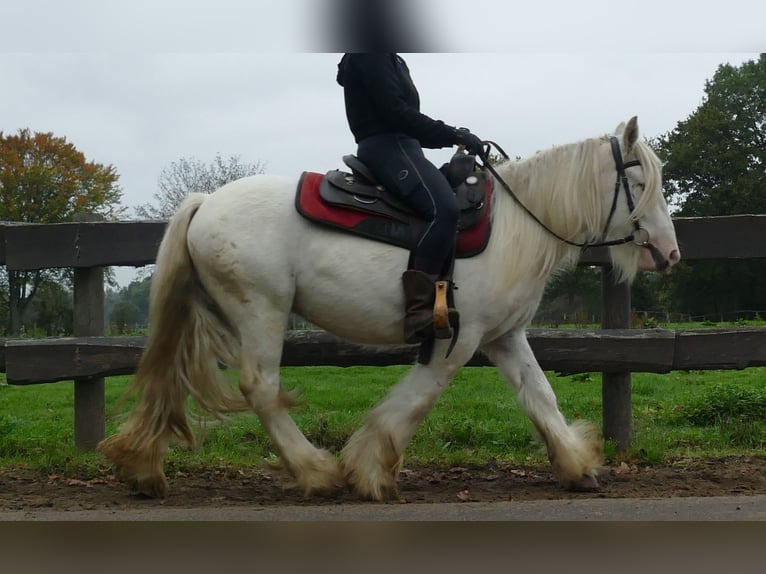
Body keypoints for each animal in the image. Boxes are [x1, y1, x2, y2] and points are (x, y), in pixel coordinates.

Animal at [99, 116, 680, 501]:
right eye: (639, 182)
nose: (670, 253)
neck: (516, 225)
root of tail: (204, 203)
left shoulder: (505, 337)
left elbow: (540, 398)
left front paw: (576, 466)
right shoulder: (458, 341)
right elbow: (414, 403)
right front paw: (369, 471)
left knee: (171, 378)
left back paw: (142, 467)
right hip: (260, 310)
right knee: (260, 388)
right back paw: (316, 472)